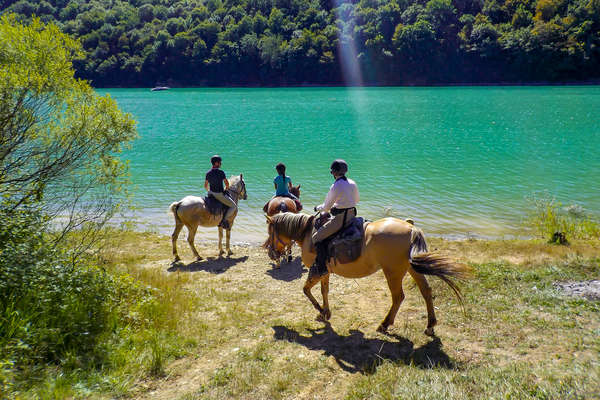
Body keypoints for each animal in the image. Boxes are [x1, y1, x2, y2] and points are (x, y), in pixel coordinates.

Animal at [264, 212, 472, 334]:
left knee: (398, 297)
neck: (308, 233)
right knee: (426, 291)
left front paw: (321, 311)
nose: (271, 252)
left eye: (270, 232)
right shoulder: (325, 272)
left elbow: (306, 290)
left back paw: (384, 324)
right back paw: (430, 325)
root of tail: (411, 228)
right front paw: (325, 312)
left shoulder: (317, 270)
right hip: (412, 269)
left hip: (393, 272)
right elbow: (324, 291)